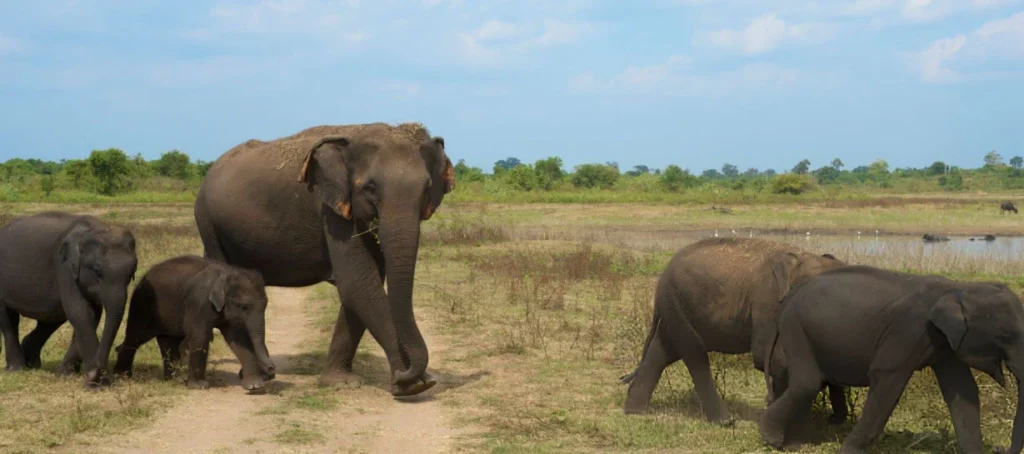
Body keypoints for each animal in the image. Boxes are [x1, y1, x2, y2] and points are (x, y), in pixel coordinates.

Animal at [113, 256, 276, 395]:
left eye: (266, 305)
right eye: (243, 307)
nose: (271, 369)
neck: (227, 272)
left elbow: (239, 339)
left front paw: (254, 386)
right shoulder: (199, 301)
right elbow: (200, 336)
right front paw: (199, 386)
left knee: (169, 341)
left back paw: (174, 380)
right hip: (141, 303)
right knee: (136, 337)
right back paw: (122, 376)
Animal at [194, 123, 456, 397]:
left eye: (426, 189)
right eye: (371, 189)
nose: (425, 375)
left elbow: (361, 286)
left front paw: (342, 382)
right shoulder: (330, 210)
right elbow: (358, 284)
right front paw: (413, 385)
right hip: (208, 223)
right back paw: (256, 378)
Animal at [614, 237, 847, 422]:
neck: (801, 256)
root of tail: (662, 278)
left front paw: (835, 421)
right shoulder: (767, 300)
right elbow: (767, 356)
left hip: (677, 307)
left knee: (663, 351)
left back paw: (635, 412)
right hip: (676, 303)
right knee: (694, 352)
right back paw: (724, 421)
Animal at [761, 266, 1024, 454]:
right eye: (1005, 336)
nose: (999, 449)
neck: (958, 289)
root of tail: (790, 295)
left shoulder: (946, 344)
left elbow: (963, 392)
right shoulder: (908, 331)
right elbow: (887, 380)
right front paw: (847, 451)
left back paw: (792, 443)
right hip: (797, 327)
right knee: (808, 383)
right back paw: (771, 439)